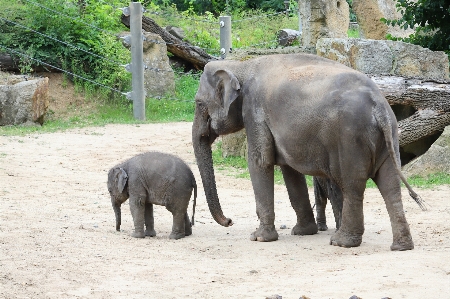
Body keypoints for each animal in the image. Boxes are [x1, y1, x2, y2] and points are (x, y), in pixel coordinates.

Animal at [192, 53, 424, 251]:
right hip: (389, 137)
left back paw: (341, 242)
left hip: (350, 139)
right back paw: (401, 247)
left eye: (199, 103)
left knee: (353, 185)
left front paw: (259, 238)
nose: (229, 221)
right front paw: (303, 232)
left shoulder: (254, 111)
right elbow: (290, 171)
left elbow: (260, 162)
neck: (240, 66)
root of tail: (380, 106)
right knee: (390, 185)